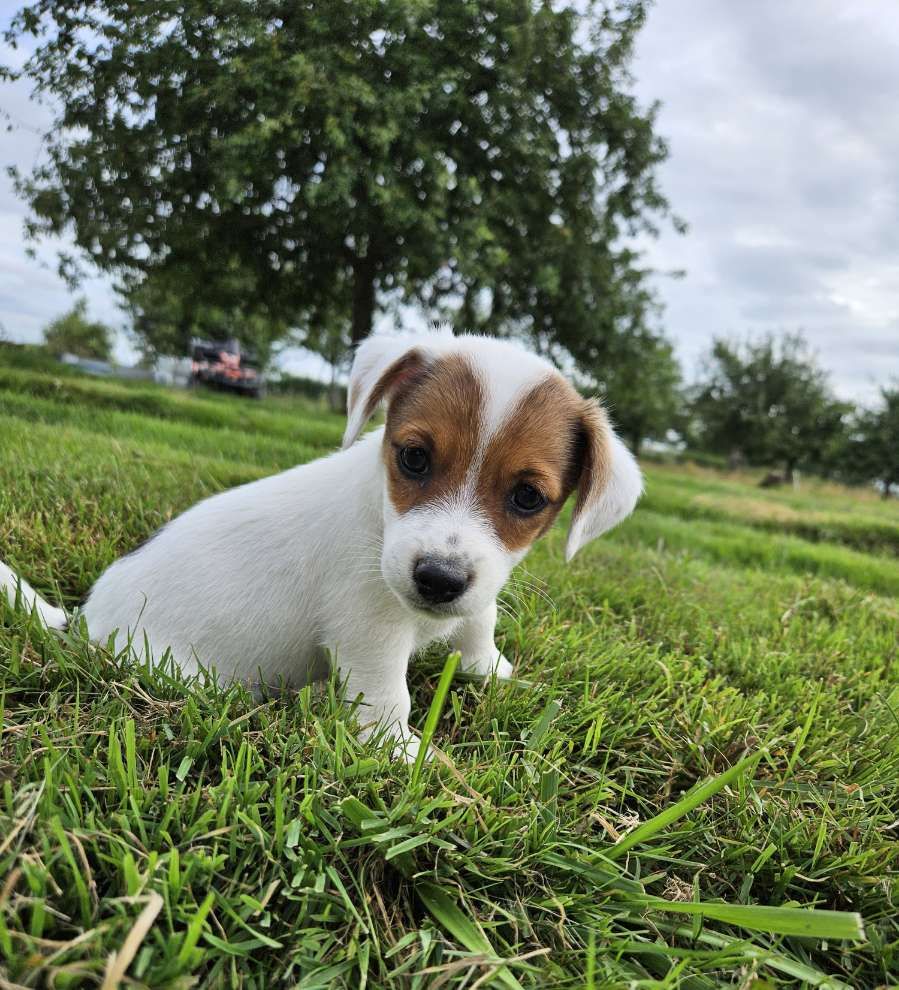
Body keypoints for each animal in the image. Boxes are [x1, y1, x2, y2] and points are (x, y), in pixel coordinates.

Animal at [1, 332, 648, 760]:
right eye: (415, 458)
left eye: (527, 498)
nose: (437, 579)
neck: (379, 514)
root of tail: (81, 624)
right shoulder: (368, 632)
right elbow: (388, 699)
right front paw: (407, 758)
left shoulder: (478, 588)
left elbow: (478, 625)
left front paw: (496, 672)